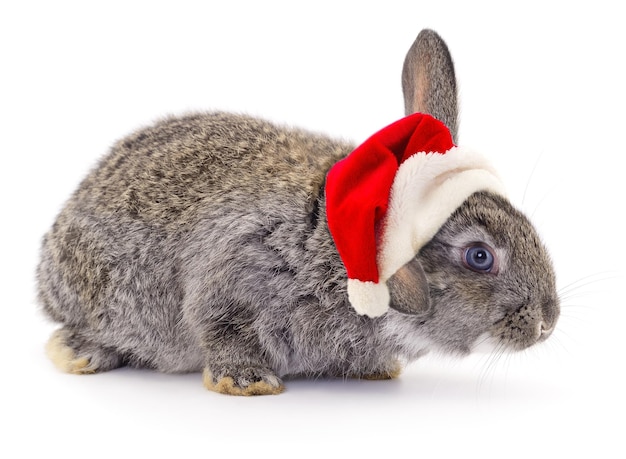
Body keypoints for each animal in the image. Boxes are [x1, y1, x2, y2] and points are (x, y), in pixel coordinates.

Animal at [36, 29, 560, 396]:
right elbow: (223, 329)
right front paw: (246, 383)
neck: (341, 252)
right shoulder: (236, 273)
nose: (548, 322)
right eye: (479, 256)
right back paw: (78, 353)